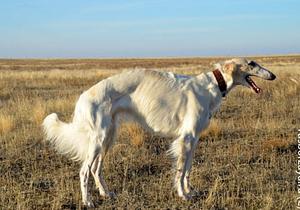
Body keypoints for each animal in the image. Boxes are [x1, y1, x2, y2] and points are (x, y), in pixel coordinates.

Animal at [42, 57, 276, 207]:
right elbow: (180, 171)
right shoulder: (186, 138)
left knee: (95, 169)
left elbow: (188, 169)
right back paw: (88, 201)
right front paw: (182, 195)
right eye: (252, 63)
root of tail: (83, 96)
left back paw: (106, 194)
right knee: (84, 170)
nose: (273, 75)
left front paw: (190, 192)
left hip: (108, 137)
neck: (211, 86)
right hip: (99, 139)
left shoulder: (194, 139)